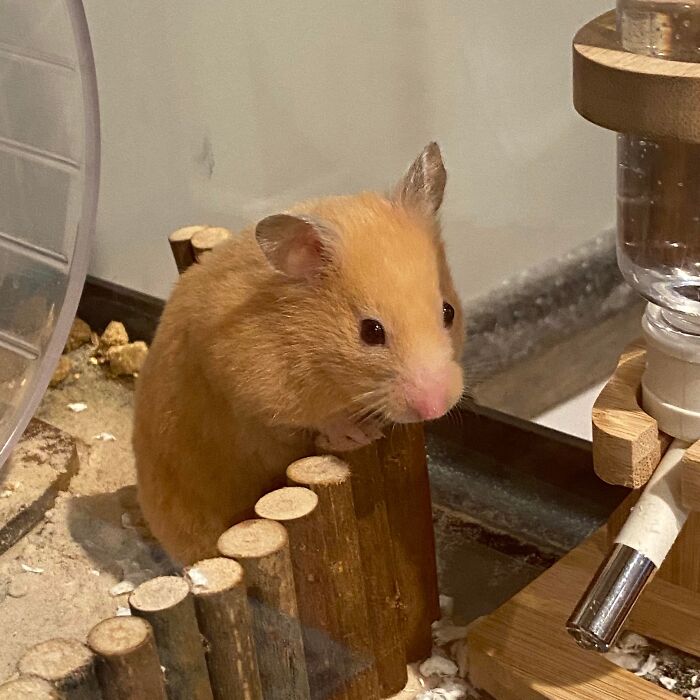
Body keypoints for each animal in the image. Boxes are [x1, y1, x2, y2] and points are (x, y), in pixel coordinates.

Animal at [132, 143, 465, 564]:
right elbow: (311, 419)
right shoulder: (252, 386)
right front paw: (357, 434)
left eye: (448, 311)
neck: (316, 353)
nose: (436, 407)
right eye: (370, 332)